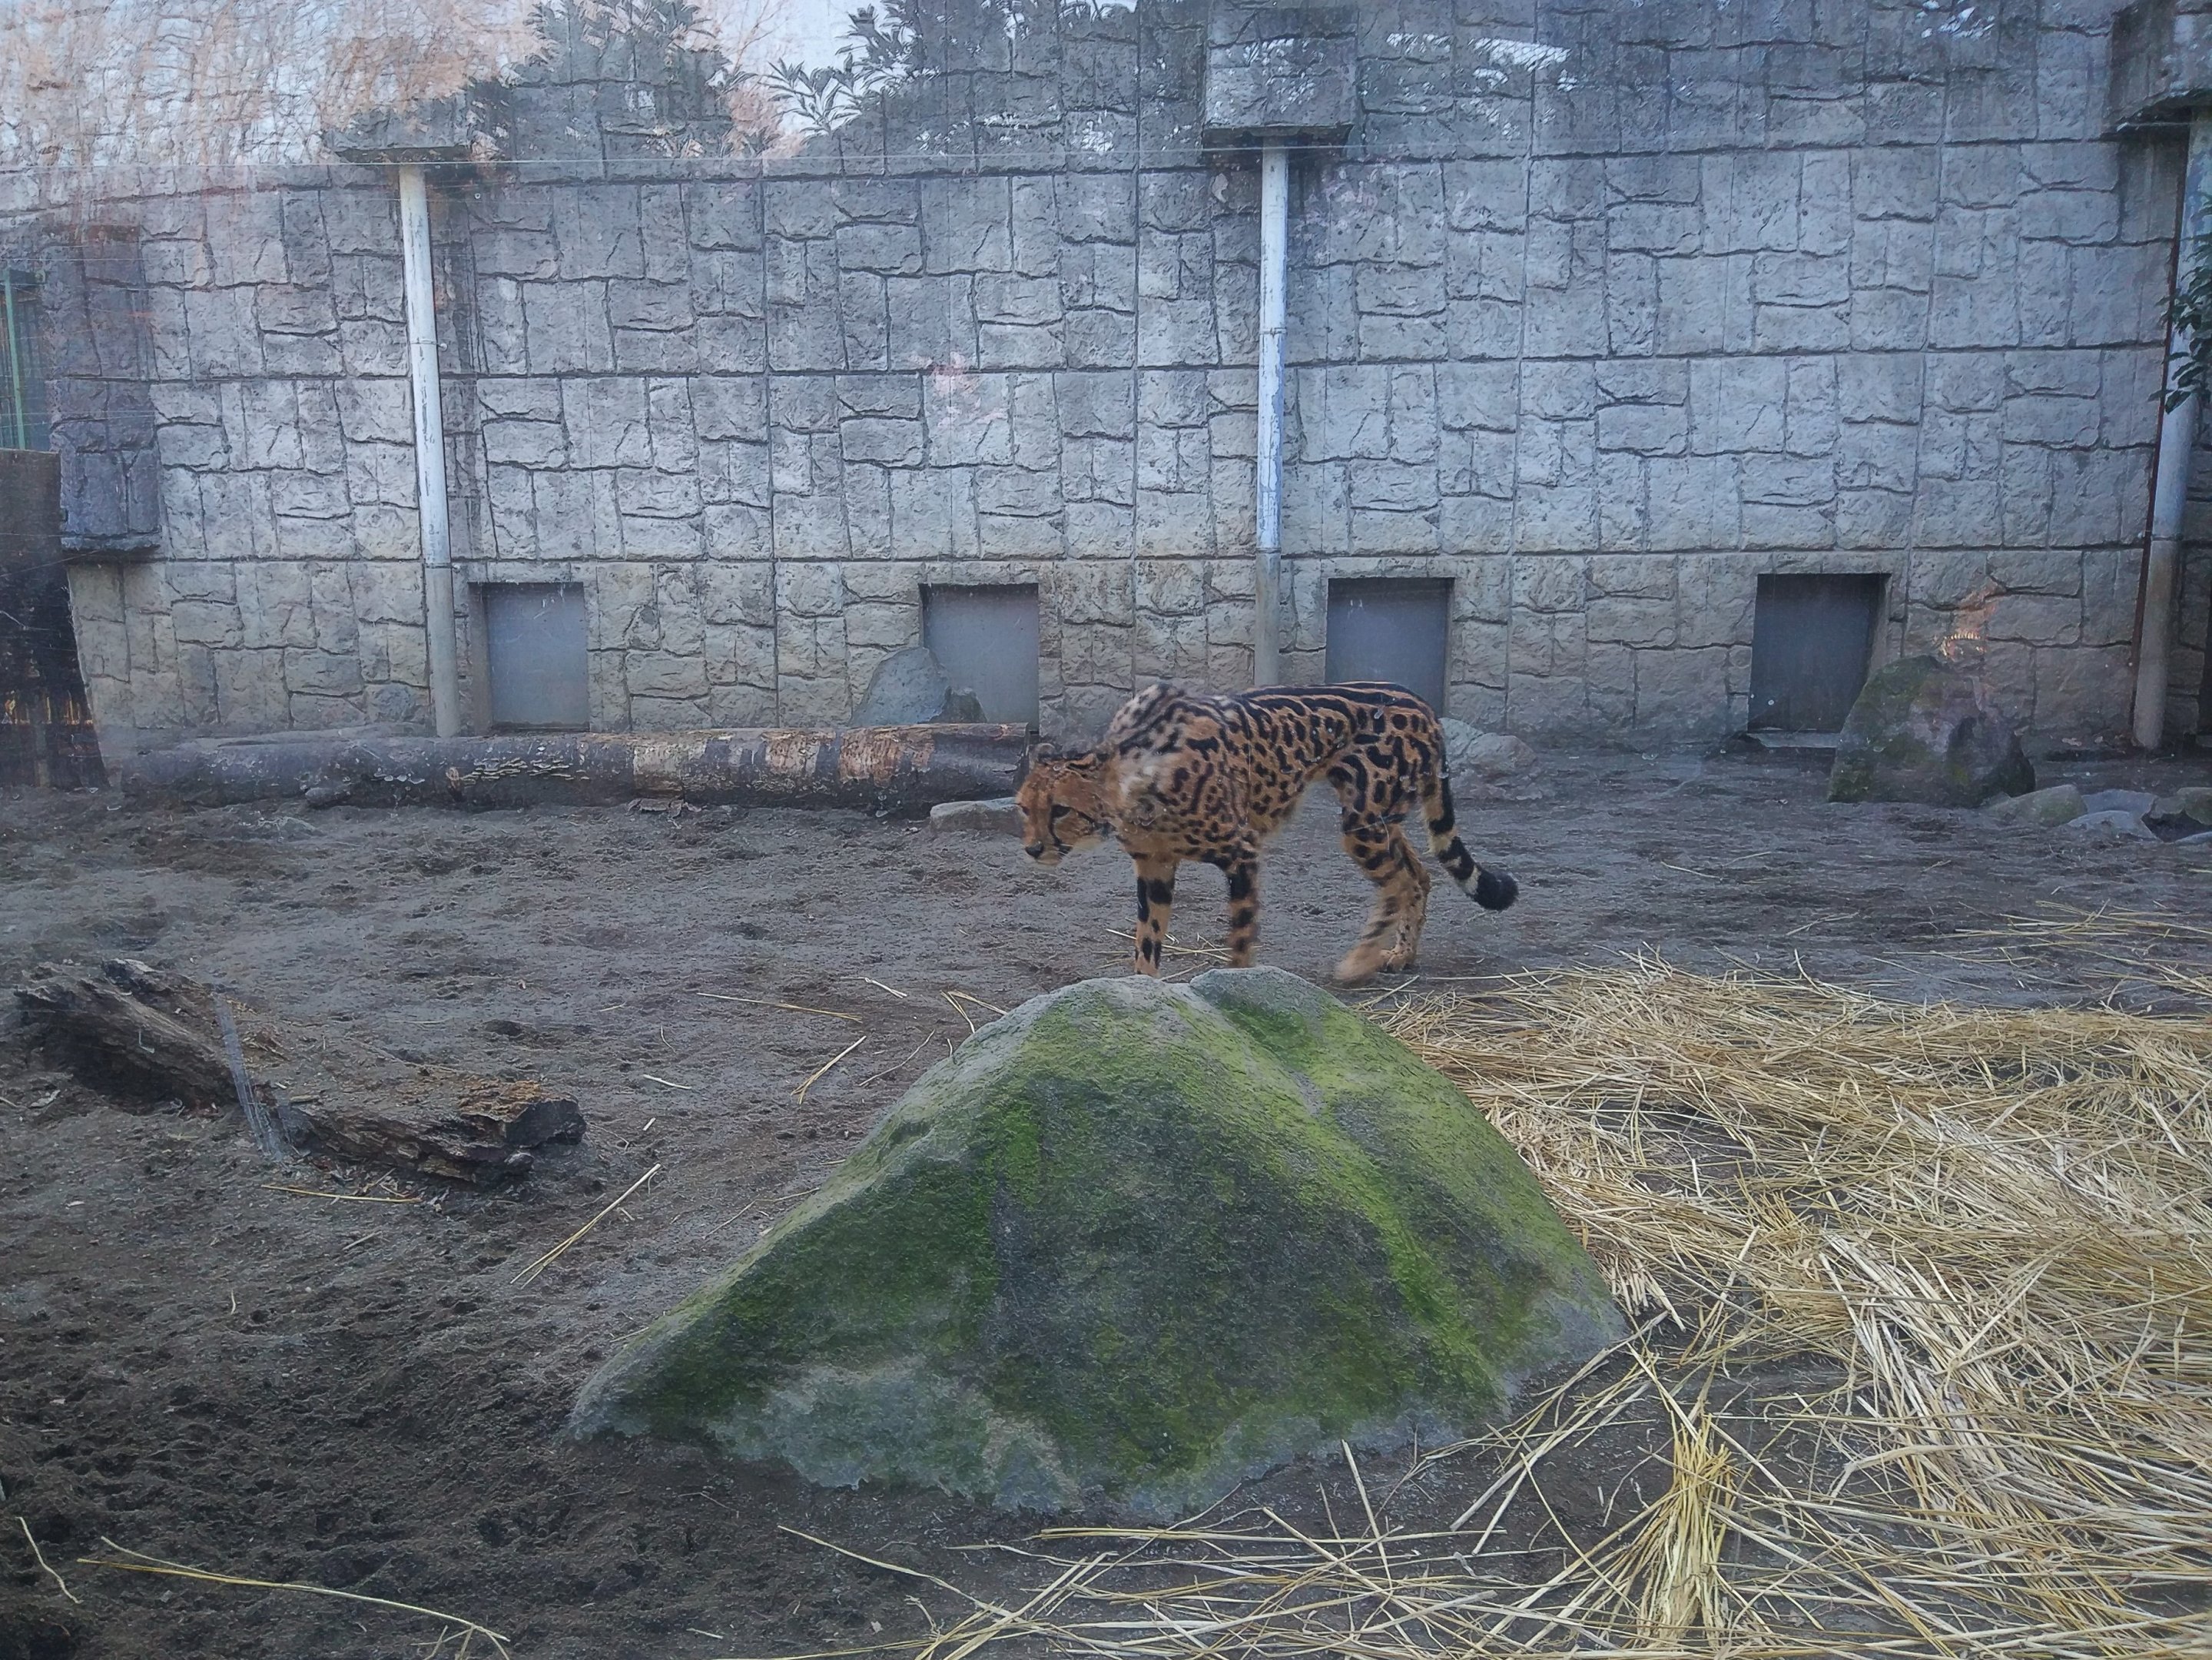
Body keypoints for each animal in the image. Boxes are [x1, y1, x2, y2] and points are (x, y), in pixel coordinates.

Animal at [1017, 680, 1517, 984]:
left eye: (1060, 809)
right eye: (1024, 808)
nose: (1034, 848)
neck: (1133, 782)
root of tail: (1420, 701)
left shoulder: (1242, 851)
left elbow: (1240, 939)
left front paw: (1236, 991)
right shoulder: (1155, 866)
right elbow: (1147, 941)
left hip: (1362, 824)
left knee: (1397, 884)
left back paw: (1359, 962)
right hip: (1379, 818)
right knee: (1419, 874)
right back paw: (1402, 954)